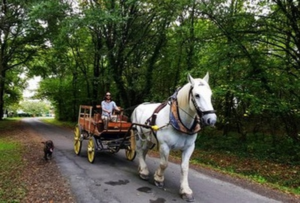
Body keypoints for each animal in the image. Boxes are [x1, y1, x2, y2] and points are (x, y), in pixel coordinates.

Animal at [131, 72, 216, 201]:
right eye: (197, 95)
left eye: (210, 94)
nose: (211, 120)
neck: (178, 121)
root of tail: (140, 105)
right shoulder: (164, 145)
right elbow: (164, 163)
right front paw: (158, 178)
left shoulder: (189, 147)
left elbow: (185, 167)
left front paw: (185, 190)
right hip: (139, 134)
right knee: (139, 150)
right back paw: (144, 171)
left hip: (149, 138)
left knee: (144, 151)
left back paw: (142, 168)